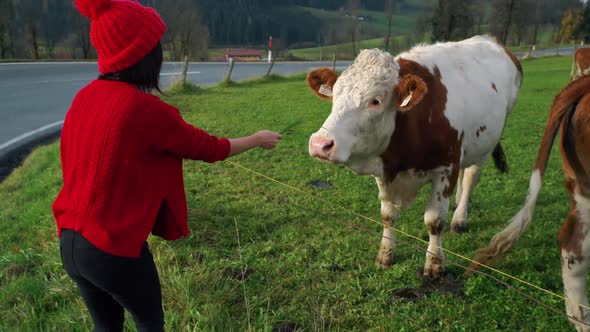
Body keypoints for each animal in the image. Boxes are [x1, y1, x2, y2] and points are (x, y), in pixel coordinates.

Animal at [308, 35, 524, 276]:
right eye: (334, 95)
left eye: (375, 100)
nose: (320, 144)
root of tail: (490, 39)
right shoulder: (385, 170)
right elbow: (388, 215)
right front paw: (385, 255)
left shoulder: (446, 168)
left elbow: (434, 221)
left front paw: (434, 263)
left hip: (486, 144)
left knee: (470, 177)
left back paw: (460, 217)